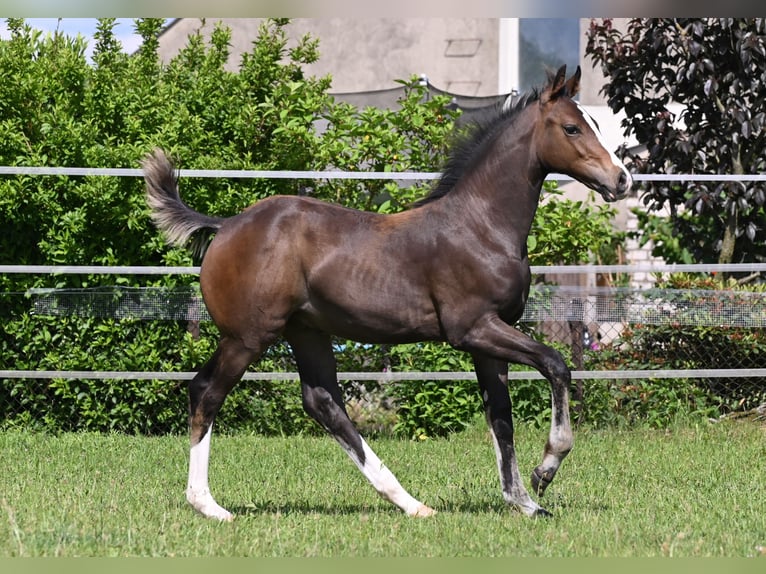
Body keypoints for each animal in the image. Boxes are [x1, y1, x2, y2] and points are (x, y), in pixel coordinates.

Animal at [142, 64, 632, 520]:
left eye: (594, 122)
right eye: (571, 127)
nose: (622, 179)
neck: (481, 226)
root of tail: (225, 226)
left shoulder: (489, 338)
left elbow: (502, 418)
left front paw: (524, 502)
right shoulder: (473, 329)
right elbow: (556, 365)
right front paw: (545, 470)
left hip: (307, 332)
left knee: (323, 403)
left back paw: (410, 502)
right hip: (248, 337)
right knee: (207, 392)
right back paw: (208, 505)